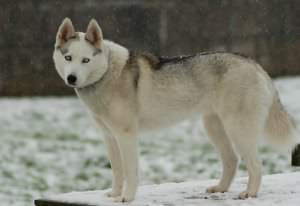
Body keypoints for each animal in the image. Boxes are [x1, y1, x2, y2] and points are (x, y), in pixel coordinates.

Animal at [52, 18, 296, 202]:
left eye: (85, 60)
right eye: (68, 57)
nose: (71, 78)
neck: (107, 74)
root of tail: (254, 64)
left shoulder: (126, 136)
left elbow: (130, 171)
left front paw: (126, 198)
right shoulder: (109, 137)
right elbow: (117, 171)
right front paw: (114, 195)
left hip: (238, 130)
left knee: (256, 164)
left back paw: (249, 193)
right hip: (214, 128)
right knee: (232, 161)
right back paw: (220, 189)